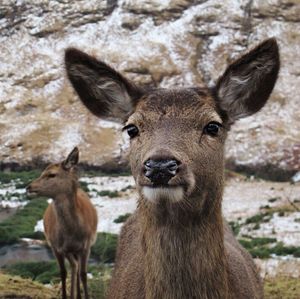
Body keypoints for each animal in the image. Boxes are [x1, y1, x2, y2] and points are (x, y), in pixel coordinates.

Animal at [26, 148, 97, 299]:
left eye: (51, 174)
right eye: (42, 172)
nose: (28, 187)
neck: (73, 233)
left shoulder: (86, 246)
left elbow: (83, 274)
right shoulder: (59, 247)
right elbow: (67, 271)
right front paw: (68, 295)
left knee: (77, 269)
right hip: (56, 247)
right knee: (66, 270)